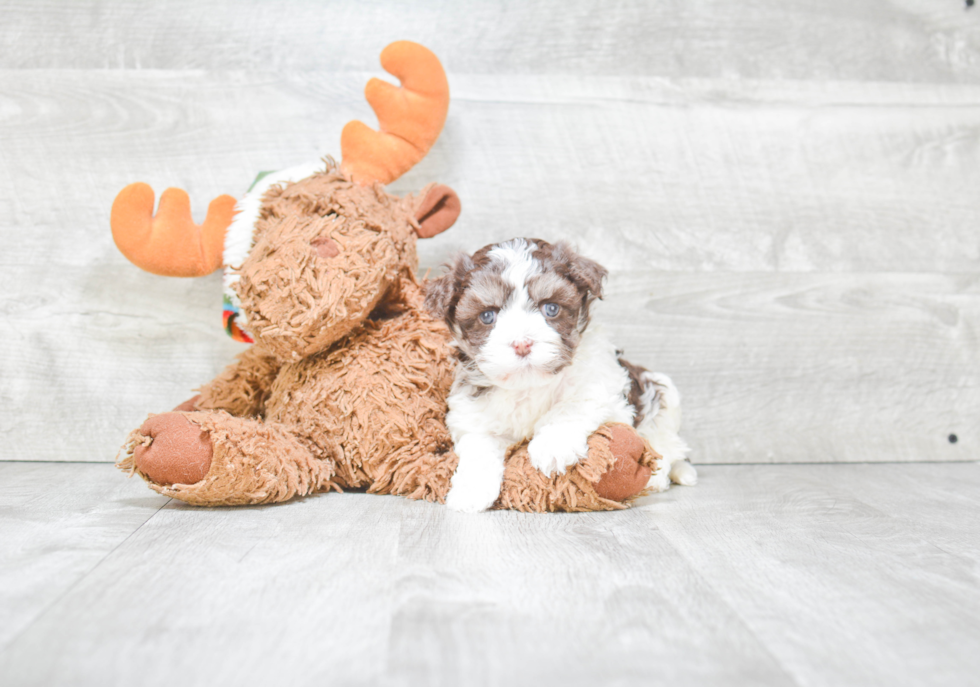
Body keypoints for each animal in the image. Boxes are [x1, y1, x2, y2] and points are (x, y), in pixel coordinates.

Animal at [424, 239, 696, 512]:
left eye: (551, 308)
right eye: (487, 316)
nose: (522, 344)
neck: (528, 384)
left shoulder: (604, 384)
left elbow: (572, 405)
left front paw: (551, 446)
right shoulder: (471, 412)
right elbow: (478, 443)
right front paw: (470, 491)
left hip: (662, 393)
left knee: (667, 444)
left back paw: (661, 476)